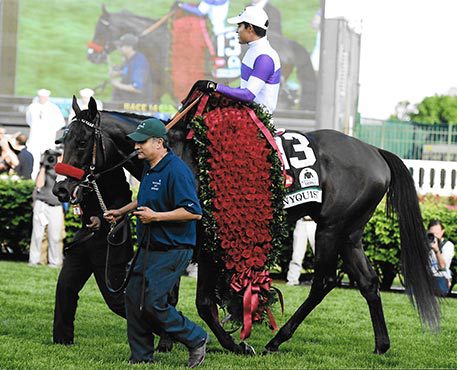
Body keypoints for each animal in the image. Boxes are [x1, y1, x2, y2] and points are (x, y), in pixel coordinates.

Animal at [53, 95, 438, 356]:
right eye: (63, 140)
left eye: (83, 141)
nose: (60, 188)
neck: (180, 154)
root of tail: (375, 151)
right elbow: (168, 292)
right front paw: (166, 341)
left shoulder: (207, 242)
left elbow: (203, 302)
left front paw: (233, 344)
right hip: (351, 232)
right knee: (369, 282)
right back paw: (381, 344)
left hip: (330, 229)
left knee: (325, 281)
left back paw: (276, 339)